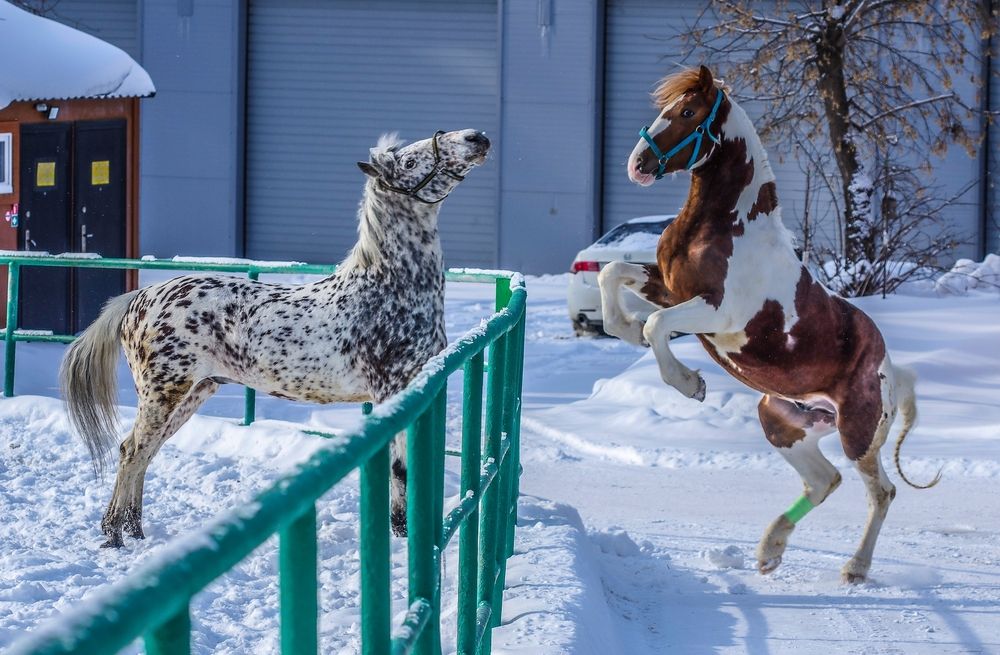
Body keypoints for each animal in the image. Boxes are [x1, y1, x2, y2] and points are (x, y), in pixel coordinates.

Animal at [61, 129, 491, 548]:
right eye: (409, 161)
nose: (476, 138)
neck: (388, 290)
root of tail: (139, 298)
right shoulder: (390, 393)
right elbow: (400, 470)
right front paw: (401, 535)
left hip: (194, 392)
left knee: (144, 452)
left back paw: (134, 530)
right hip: (162, 394)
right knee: (132, 451)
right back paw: (115, 534)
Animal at [598, 65, 939, 583]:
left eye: (688, 111)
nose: (638, 164)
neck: (726, 225)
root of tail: (890, 370)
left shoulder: (716, 312)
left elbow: (657, 324)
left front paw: (690, 383)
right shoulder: (673, 288)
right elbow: (613, 273)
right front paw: (625, 329)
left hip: (857, 436)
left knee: (881, 491)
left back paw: (854, 568)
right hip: (782, 422)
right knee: (824, 481)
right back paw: (770, 551)